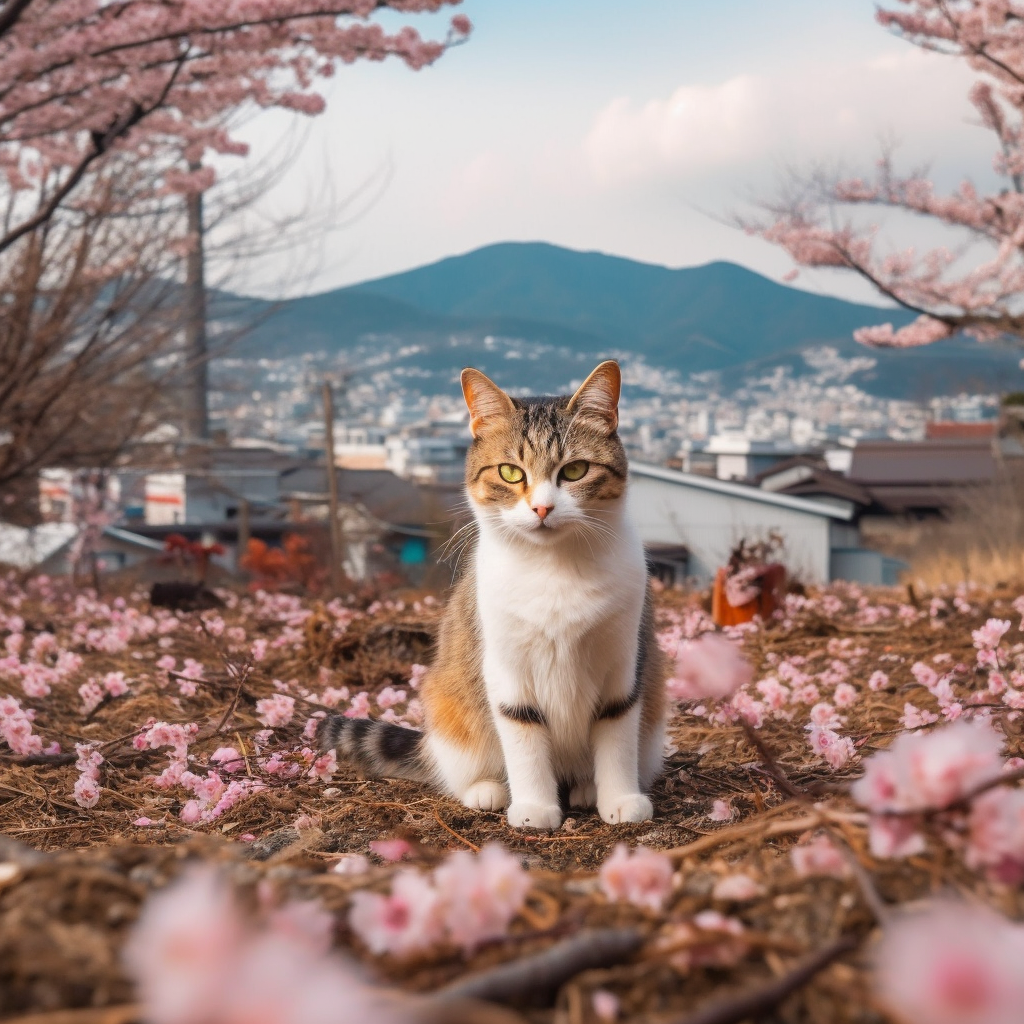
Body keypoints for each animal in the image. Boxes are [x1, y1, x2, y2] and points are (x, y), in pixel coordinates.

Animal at [319, 356, 671, 827]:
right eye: (510, 472)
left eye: (575, 470)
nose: (542, 507)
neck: (554, 569)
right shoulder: (507, 666)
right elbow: (523, 735)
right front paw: (535, 808)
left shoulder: (623, 659)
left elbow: (616, 735)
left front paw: (619, 798)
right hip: (451, 708)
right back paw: (487, 790)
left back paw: (585, 788)